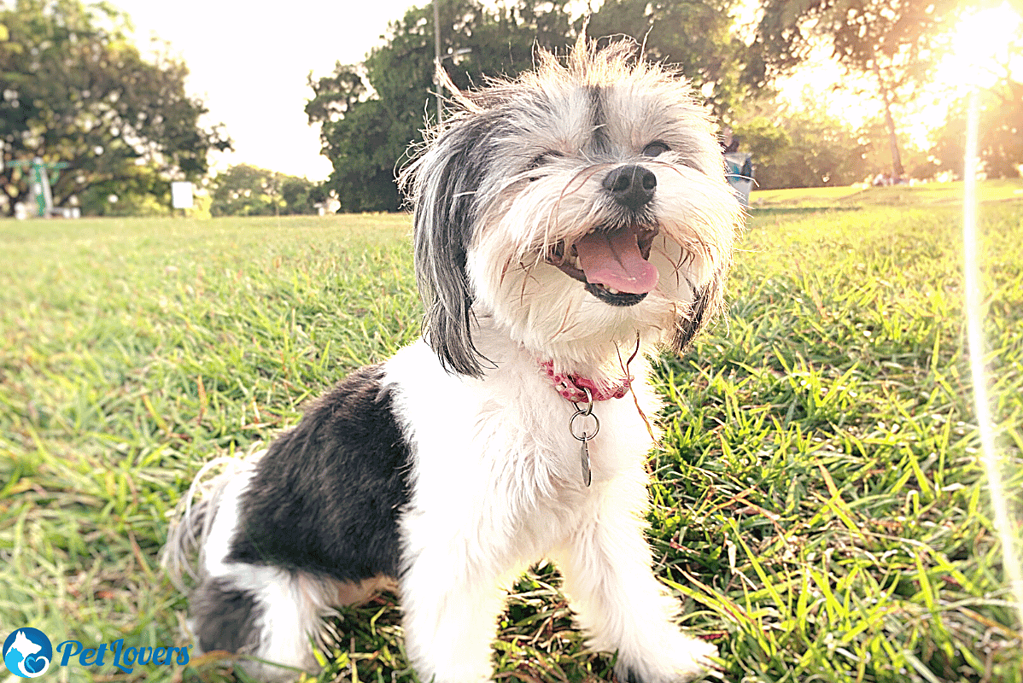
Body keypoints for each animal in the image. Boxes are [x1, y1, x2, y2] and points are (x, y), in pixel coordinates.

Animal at [161, 38, 744, 683]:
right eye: (542, 160)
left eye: (657, 149)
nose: (634, 178)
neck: (548, 368)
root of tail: (226, 508)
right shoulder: (451, 550)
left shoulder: (599, 518)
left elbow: (624, 593)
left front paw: (664, 660)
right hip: (273, 608)